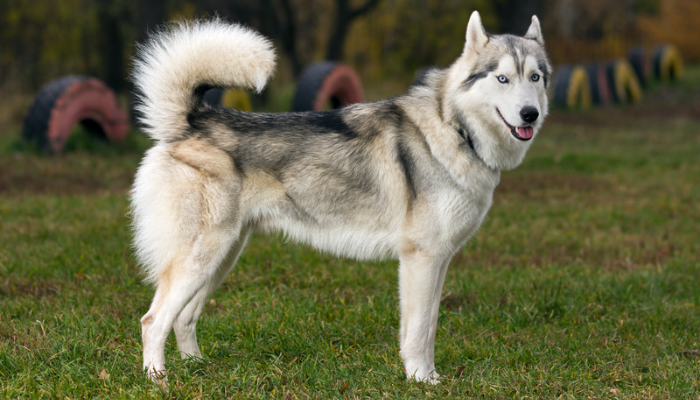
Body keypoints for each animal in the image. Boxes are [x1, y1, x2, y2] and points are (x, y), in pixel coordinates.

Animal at [130, 10, 548, 382]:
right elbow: (417, 333)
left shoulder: (438, 261)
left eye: (535, 77)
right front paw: (420, 380)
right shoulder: (421, 259)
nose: (530, 113)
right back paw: (158, 379)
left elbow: (427, 326)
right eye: (502, 78)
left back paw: (196, 367)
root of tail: (194, 120)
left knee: (183, 319)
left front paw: (430, 377)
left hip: (221, 258)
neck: (456, 129)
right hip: (201, 258)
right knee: (153, 321)